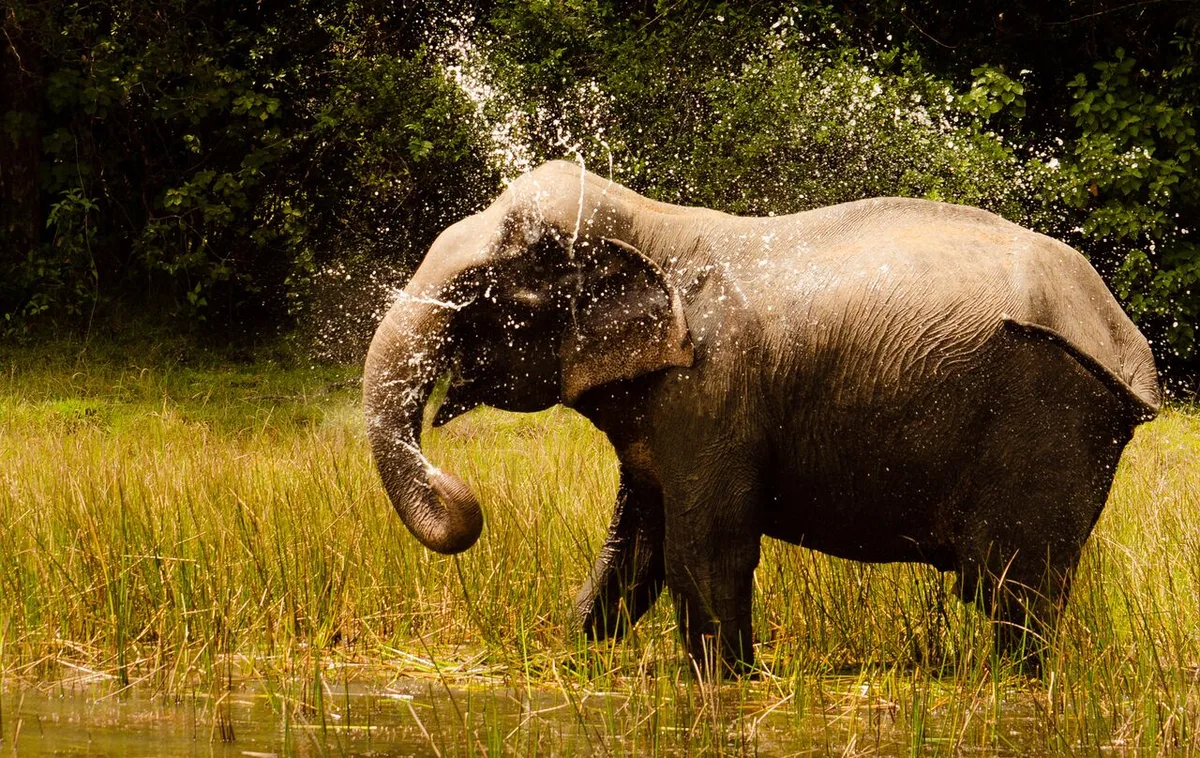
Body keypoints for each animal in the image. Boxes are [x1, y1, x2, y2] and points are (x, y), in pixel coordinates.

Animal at [364, 160, 1160, 675]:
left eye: (495, 298)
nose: (460, 494)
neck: (651, 222)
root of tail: (1126, 340)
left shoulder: (712, 390)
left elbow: (701, 553)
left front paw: (730, 685)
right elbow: (635, 554)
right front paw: (567, 660)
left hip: (1049, 415)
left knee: (1013, 590)